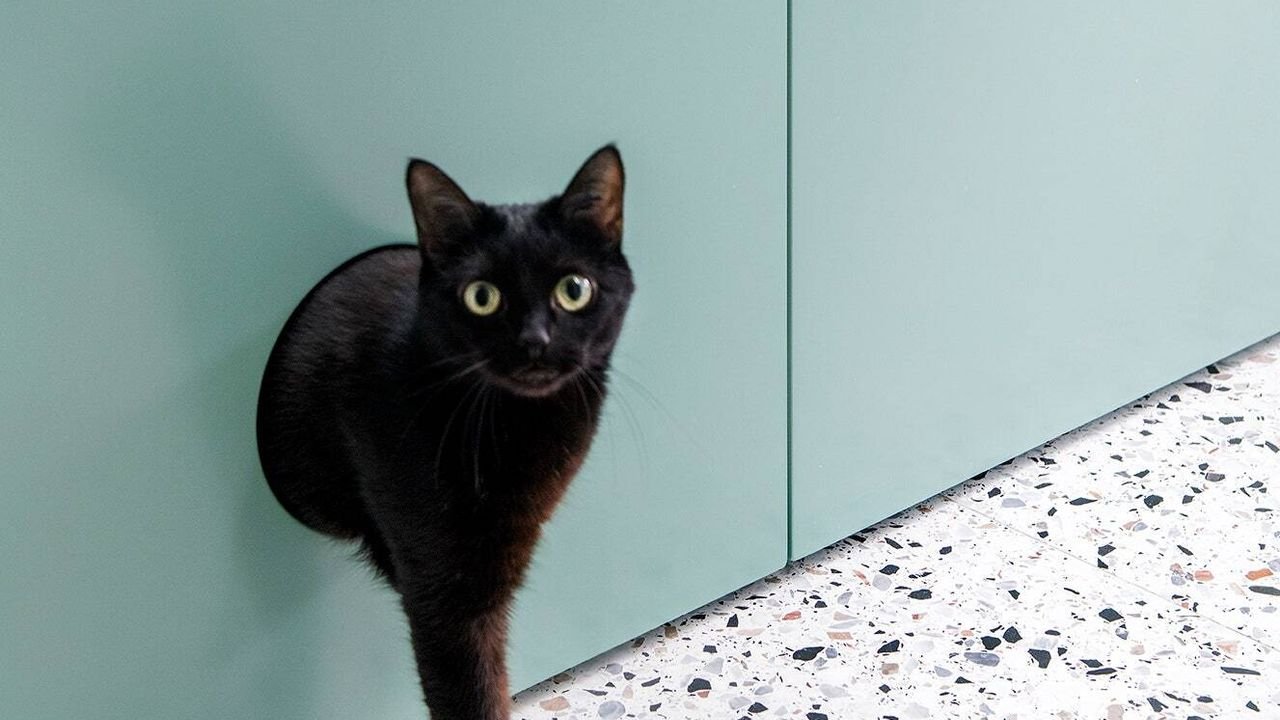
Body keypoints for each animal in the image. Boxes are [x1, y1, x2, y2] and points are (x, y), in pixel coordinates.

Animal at [256, 145, 633, 720]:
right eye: (482, 297)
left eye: (574, 289)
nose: (534, 342)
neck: (518, 429)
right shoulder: (447, 592)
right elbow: (471, 690)